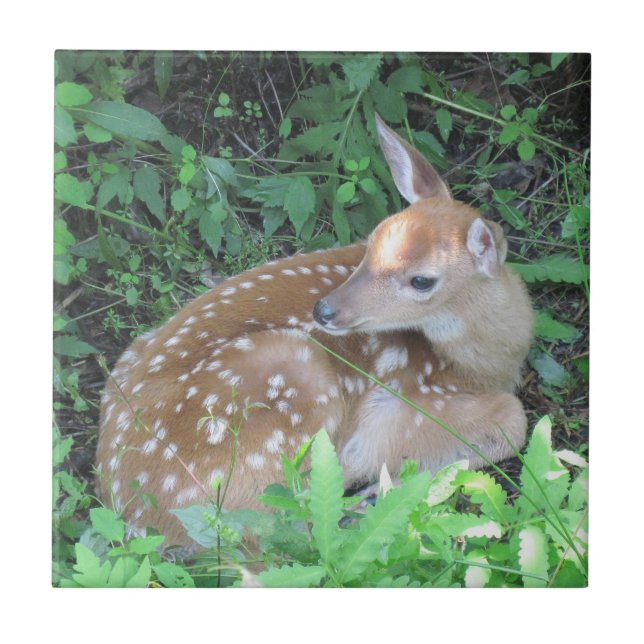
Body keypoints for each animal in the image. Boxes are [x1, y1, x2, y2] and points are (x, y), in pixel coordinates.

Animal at [96, 114, 534, 548]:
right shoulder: (402, 404)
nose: (325, 309)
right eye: (371, 242)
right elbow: (514, 421)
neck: (482, 365)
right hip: (292, 383)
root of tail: (132, 513)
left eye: (422, 280)